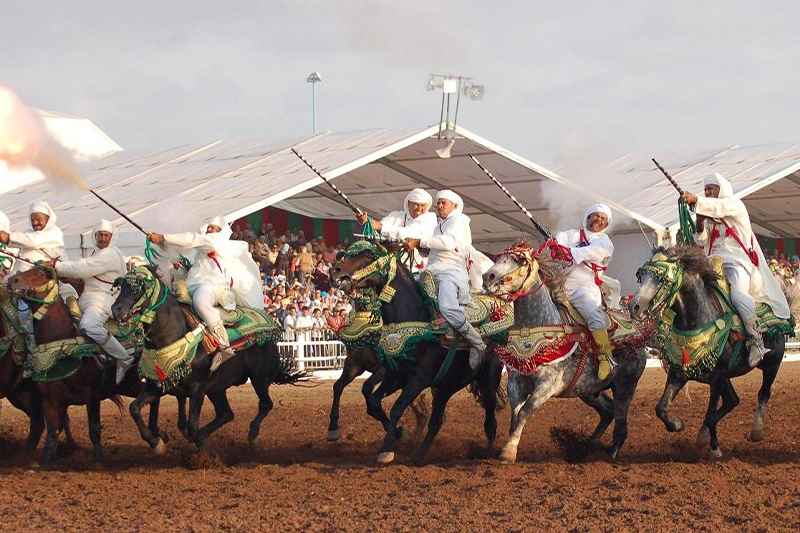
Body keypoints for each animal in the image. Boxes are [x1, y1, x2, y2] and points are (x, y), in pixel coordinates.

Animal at [109, 264, 304, 450]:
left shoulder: (197, 388)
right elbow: (134, 408)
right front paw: (156, 443)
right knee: (225, 414)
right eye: (121, 286)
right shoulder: (157, 385)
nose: (115, 309)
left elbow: (192, 426)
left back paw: (253, 435)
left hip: (259, 378)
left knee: (265, 405)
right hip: (217, 388)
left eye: (138, 288)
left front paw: (205, 454)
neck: (174, 332)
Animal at [328, 239, 504, 464]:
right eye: (347, 252)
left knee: (489, 419)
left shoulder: (414, 379)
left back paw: (488, 452)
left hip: (488, 381)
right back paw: (419, 455)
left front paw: (388, 448)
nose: (336, 269)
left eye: (369, 255)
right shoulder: (384, 372)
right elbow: (366, 398)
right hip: (446, 386)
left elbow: (393, 406)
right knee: (436, 420)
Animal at [478, 243, 648, 460]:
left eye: (520, 260)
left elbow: (525, 412)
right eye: (499, 258)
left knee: (621, 425)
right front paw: (510, 447)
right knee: (608, 411)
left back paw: (609, 456)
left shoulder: (548, 385)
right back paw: (586, 447)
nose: (488, 276)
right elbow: (515, 415)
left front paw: (509, 451)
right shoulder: (515, 383)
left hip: (625, 387)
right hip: (589, 391)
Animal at [632, 245, 792, 458]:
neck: (699, 317)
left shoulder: (716, 377)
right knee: (732, 400)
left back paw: (756, 430)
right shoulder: (679, 372)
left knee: (763, 393)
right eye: (641, 276)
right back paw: (703, 434)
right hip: (726, 376)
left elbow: (710, 416)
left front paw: (715, 448)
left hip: (772, 364)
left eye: (662, 278)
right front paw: (678, 424)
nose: (635, 306)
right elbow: (661, 408)